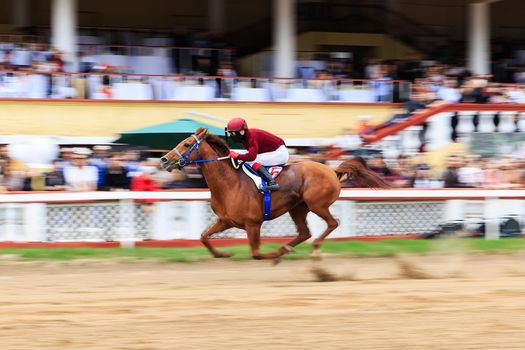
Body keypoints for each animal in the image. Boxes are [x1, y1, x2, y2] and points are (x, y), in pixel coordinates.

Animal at [160, 129, 388, 260]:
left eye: (186, 144)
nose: (164, 159)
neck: (230, 184)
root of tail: (332, 170)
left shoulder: (253, 223)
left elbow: (256, 253)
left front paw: (270, 255)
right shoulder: (225, 220)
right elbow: (204, 237)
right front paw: (223, 253)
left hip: (317, 204)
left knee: (332, 223)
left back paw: (312, 249)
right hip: (298, 208)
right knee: (304, 233)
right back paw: (285, 250)